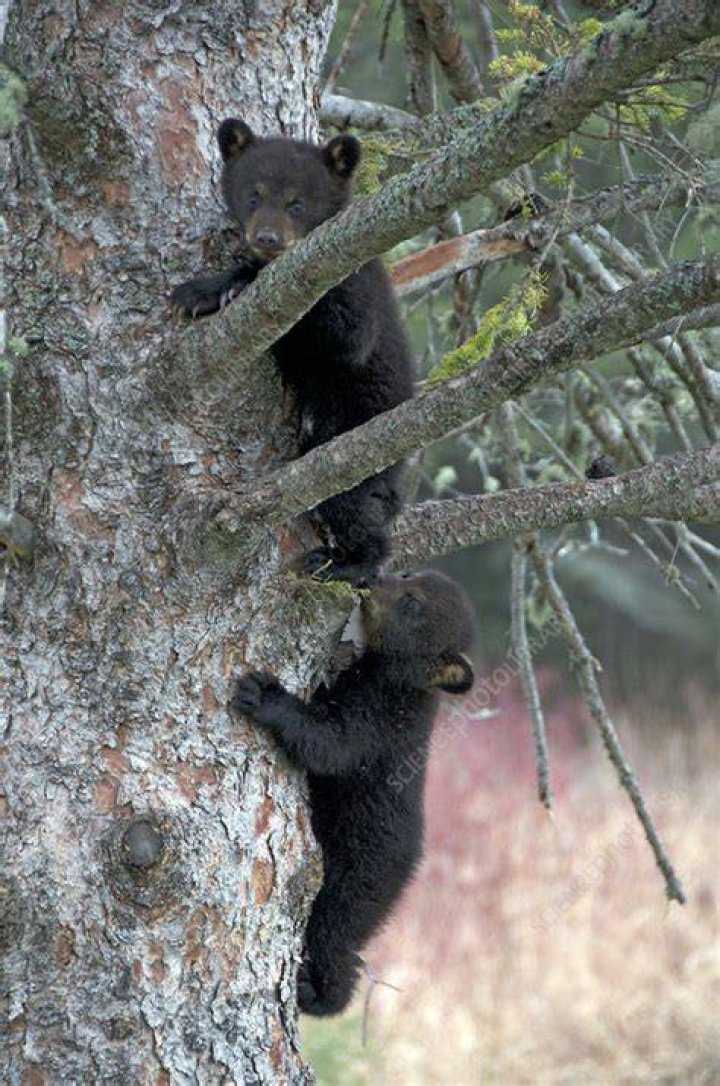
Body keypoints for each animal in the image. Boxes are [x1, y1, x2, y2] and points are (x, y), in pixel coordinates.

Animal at [171, 119, 415, 584]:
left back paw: (346, 562)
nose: (266, 237)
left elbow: (345, 332)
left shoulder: (353, 282)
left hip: (355, 432)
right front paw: (203, 290)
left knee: (350, 501)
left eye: (298, 203)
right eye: (254, 194)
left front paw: (234, 282)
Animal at [231, 570, 476, 1016]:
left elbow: (331, 744)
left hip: (358, 878)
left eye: (412, 601)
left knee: (335, 933)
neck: (395, 682)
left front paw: (266, 697)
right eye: (407, 575)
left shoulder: (378, 724)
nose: (374, 580)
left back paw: (317, 992)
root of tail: (409, 871)